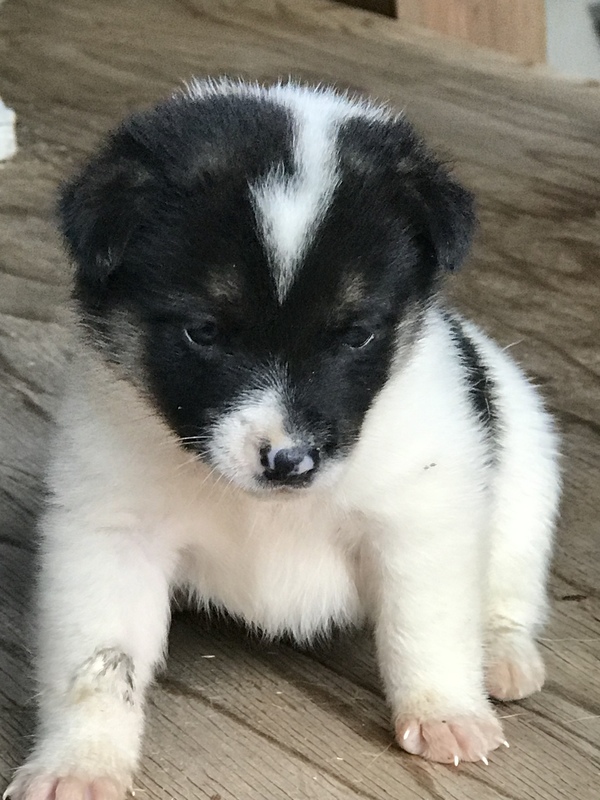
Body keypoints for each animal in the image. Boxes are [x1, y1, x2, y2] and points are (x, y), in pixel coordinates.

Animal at [5, 79, 560, 800]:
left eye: (357, 334)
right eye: (203, 332)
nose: (289, 462)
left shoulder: (418, 521)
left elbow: (426, 627)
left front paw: (445, 712)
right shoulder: (111, 534)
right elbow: (100, 661)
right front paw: (81, 762)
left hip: (525, 487)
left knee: (506, 592)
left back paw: (503, 657)